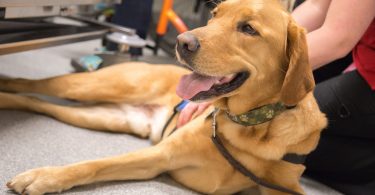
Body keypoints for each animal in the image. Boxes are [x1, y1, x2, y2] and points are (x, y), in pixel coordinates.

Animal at [2, 0, 326, 194]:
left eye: (248, 28)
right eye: (214, 15)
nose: (183, 42)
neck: (250, 128)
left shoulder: (284, 186)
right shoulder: (161, 156)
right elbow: (93, 165)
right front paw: (44, 177)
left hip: (100, 116)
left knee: (36, 102)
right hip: (90, 86)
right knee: (34, 83)